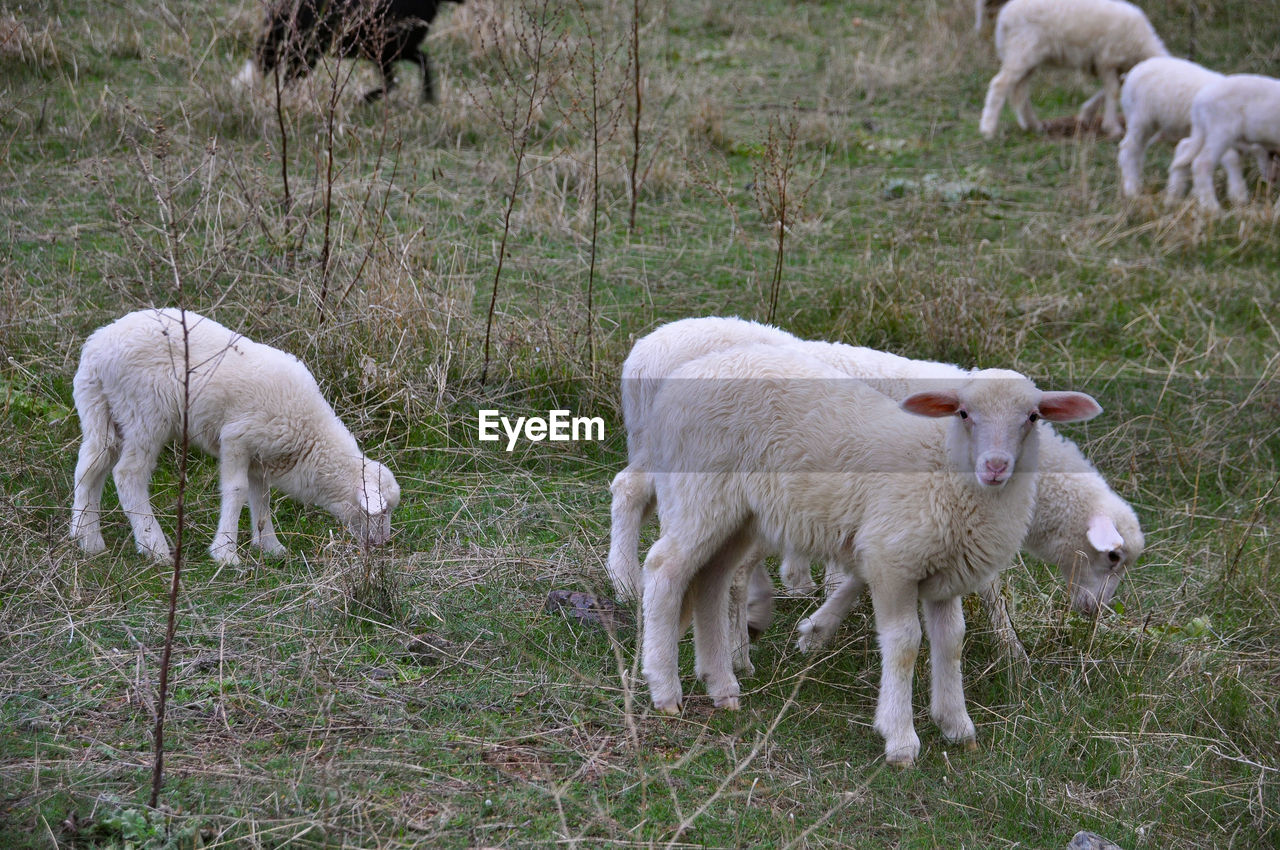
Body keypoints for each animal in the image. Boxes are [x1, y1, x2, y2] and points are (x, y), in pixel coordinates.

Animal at [70, 307, 399, 563]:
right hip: (145, 414)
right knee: (128, 475)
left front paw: (270, 546)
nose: (383, 544)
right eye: (381, 512)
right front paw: (226, 553)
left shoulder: (261, 457)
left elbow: (261, 497)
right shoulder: (237, 439)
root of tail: (96, 349)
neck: (309, 437)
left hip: (100, 409)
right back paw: (155, 547)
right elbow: (237, 491)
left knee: (89, 466)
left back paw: (87, 539)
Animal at [230, 0, 460, 104]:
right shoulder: (385, 50)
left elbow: (420, 62)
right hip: (308, 48)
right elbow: (395, 79)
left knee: (287, 74)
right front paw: (365, 99)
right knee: (291, 76)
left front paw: (428, 97)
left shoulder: (394, 51)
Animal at [640, 343, 1100, 768]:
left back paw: (722, 686)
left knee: (711, 579)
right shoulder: (892, 560)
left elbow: (951, 640)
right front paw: (900, 738)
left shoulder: (947, 571)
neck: (949, 473)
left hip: (739, 514)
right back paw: (665, 689)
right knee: (666, 568)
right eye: (964, 413)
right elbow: (905, 643)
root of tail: (688, 373)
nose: (995, 466)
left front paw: (956, 725)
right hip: (700, 489)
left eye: (1033, 417)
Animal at [977, 0, 1172, 140]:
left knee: (1019, 91)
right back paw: (988, 129)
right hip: (1021, 51)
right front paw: (1112, 127)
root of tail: (1004, 17)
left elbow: (1109, 90)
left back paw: (1033, 125)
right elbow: (1113, 91)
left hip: (1026, 57)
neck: (1142, 45)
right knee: (1000, 84)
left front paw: (1087, 113)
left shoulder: (1116, 67)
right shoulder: (1107, 60)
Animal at [1167, 73, 1280, 212]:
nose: (1272, 179)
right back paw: (1212, 208)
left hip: (1204, 131)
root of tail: (1198, 101)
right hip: (1221, 131)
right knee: (1202, 163)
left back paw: (1173, 198)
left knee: (1185, 149)